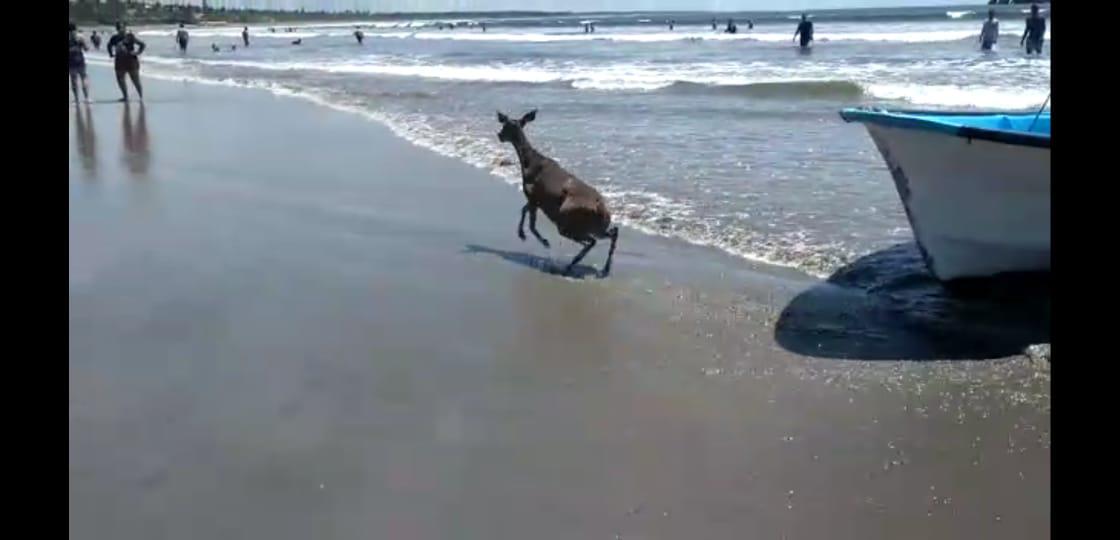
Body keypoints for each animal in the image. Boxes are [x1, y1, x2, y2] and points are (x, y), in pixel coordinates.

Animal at [499, 110, 622, 278]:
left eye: (507, 126)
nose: (499, 135)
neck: (528, 163)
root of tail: (601, 209)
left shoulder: (533, 196)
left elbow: (531, 224)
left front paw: (540, 240)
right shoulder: (535, 199)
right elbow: (524, 211)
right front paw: (522, 234)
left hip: (566, 221)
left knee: (590, 241)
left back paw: (570, 265)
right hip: (596, 226)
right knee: (612, 233)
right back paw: (603, 269)